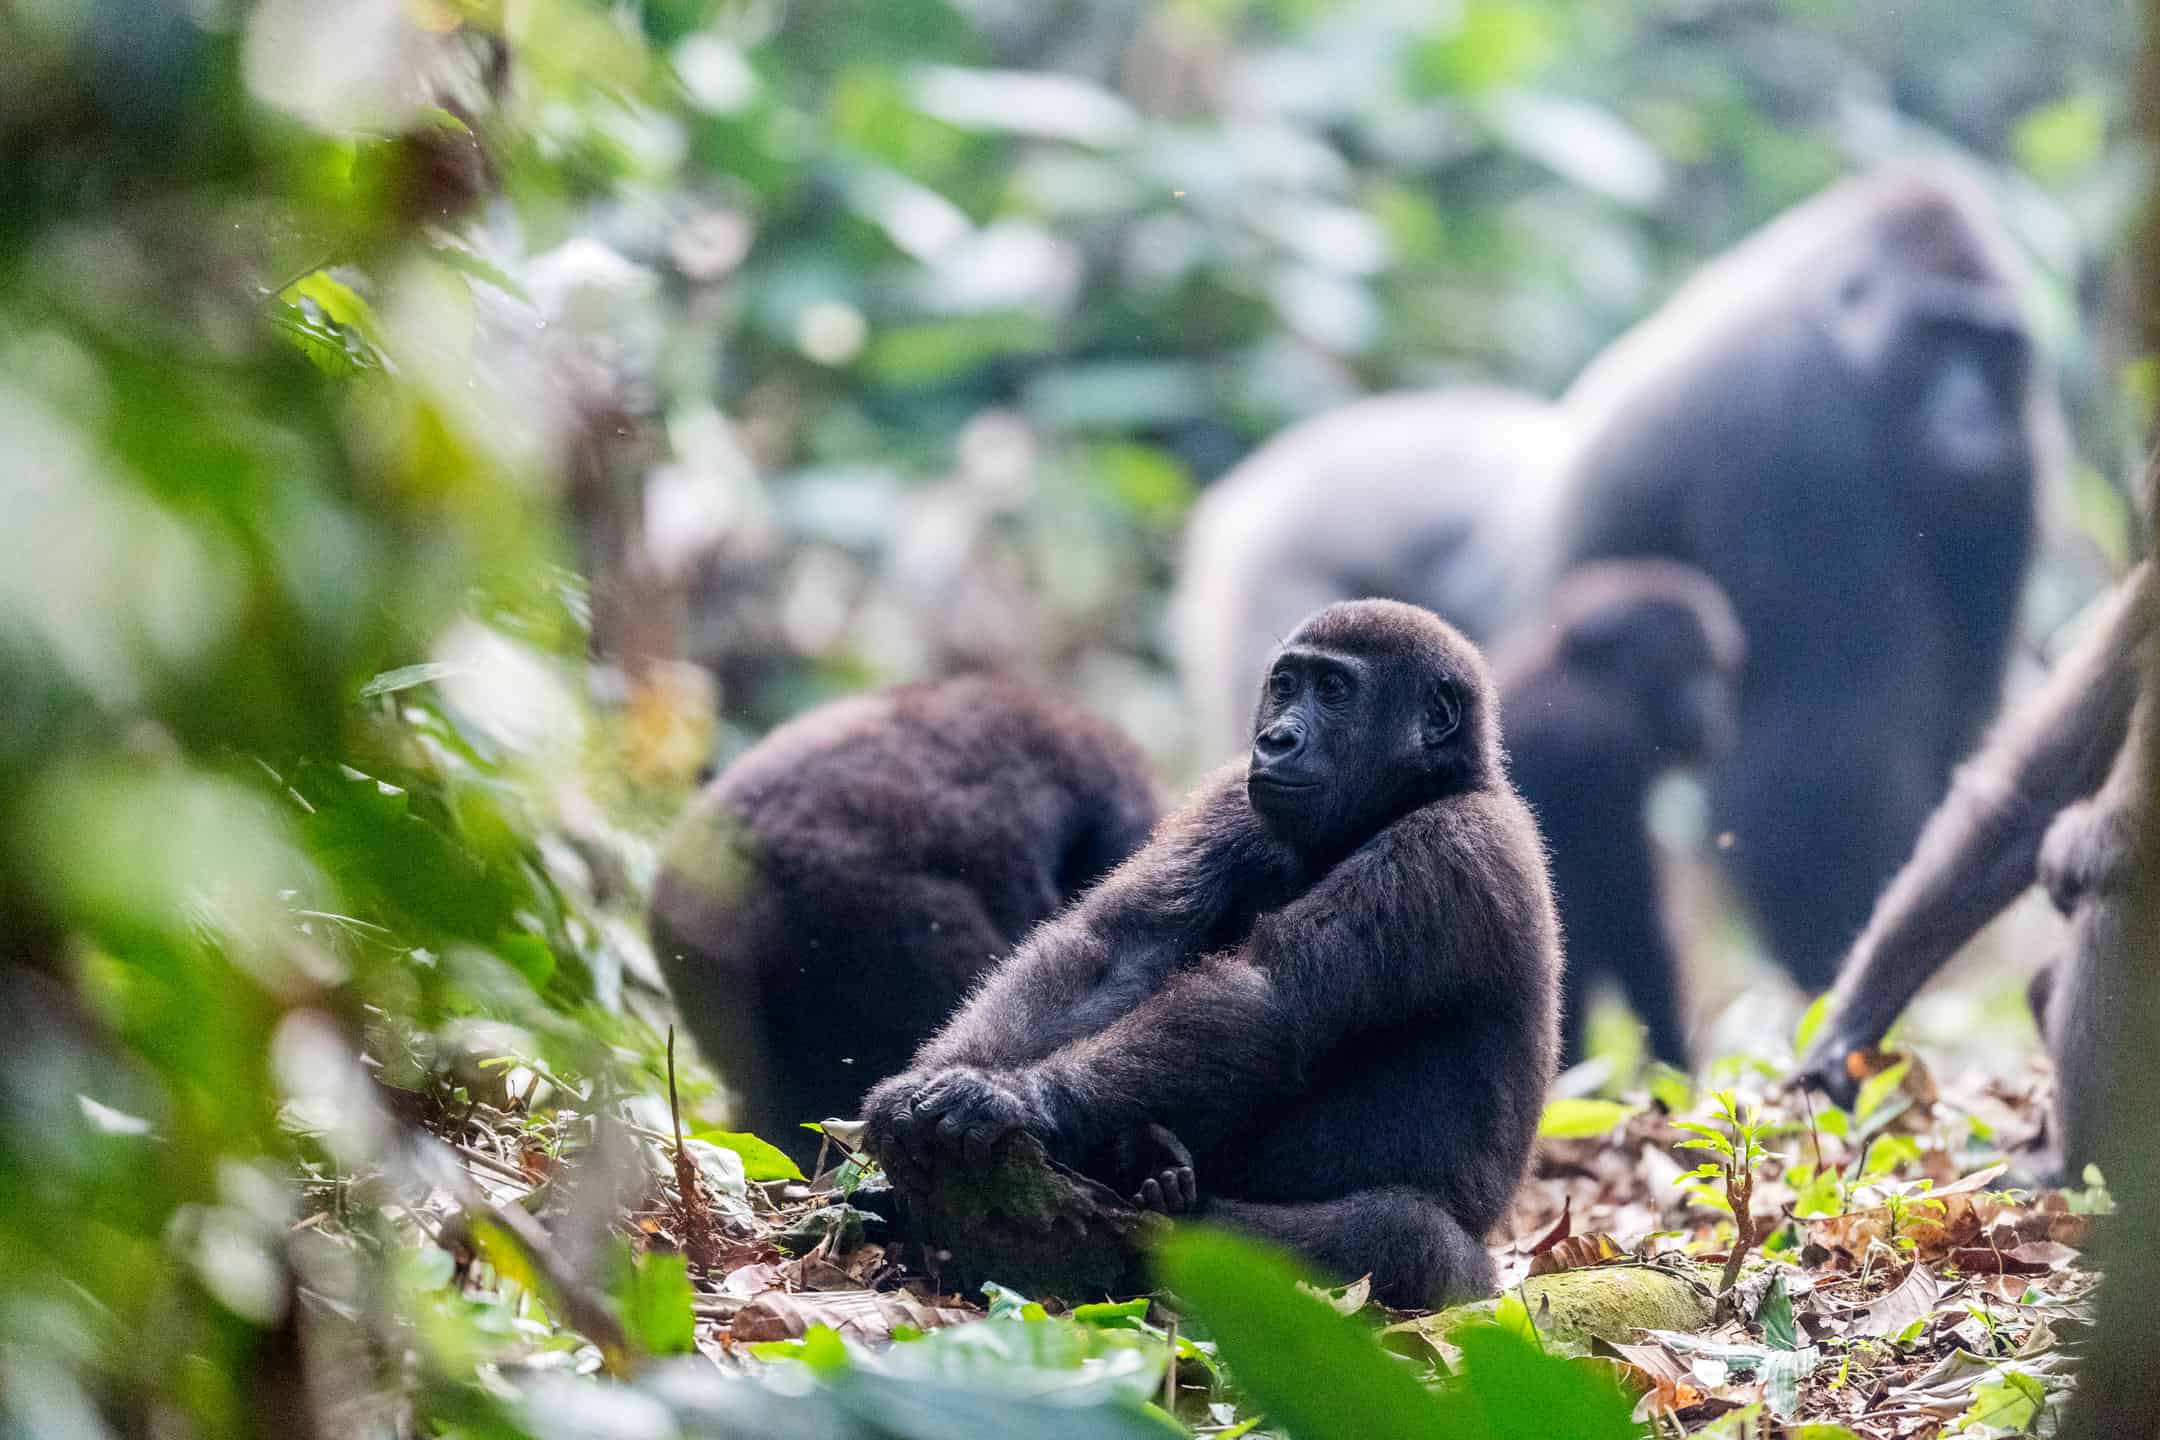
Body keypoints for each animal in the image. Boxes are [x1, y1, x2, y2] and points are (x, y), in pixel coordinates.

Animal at [862, 600, 1562, 1308]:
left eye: (1334, 690)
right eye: (1286, 684)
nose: (1276, 739)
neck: (1430, 787)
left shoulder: (1449, 850)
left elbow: (1266, 998)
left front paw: (1020, 1097)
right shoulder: (1231, 799)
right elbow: (1119, 949)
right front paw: (927, 1083)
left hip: (1476, 1282)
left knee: (1408, 1236)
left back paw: (1125, 1219)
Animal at [1491, 561, 1744, 1068]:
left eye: (1714, 668)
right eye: (1683, 661)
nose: (1712, 706)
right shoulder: (1606, 754)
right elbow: (1634, 928)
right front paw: (1679, 1068)